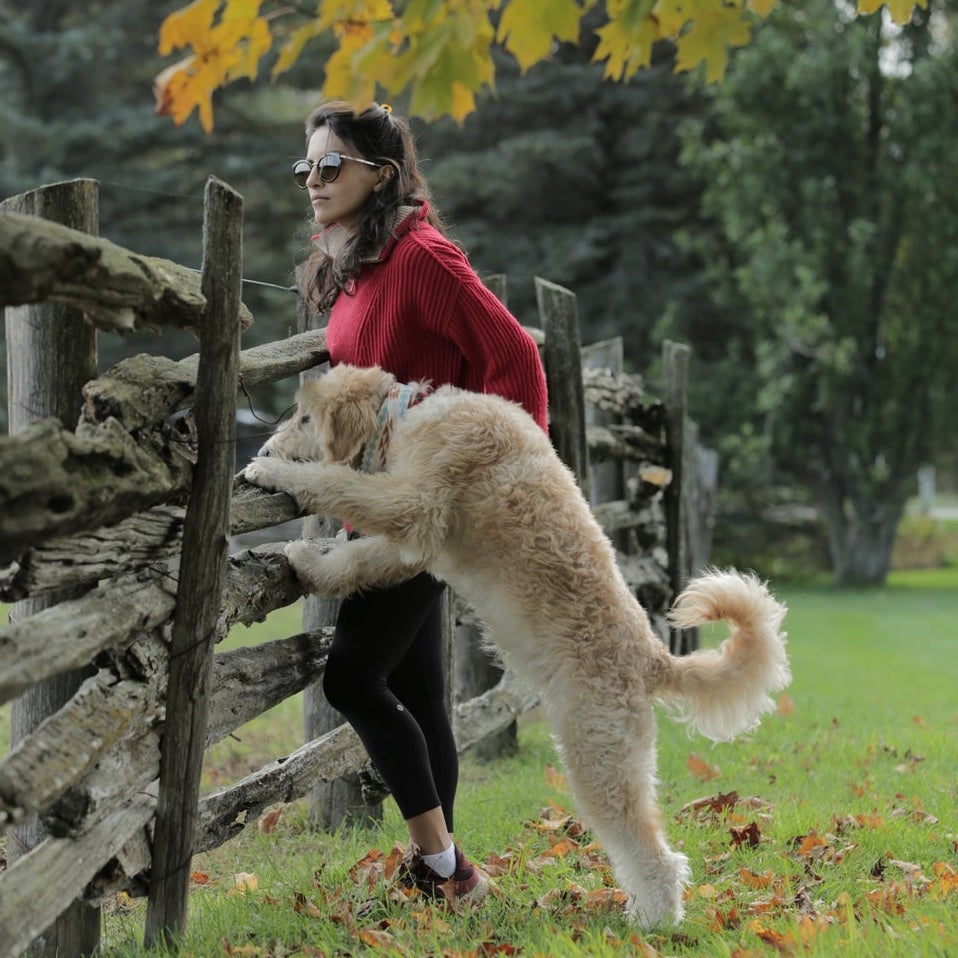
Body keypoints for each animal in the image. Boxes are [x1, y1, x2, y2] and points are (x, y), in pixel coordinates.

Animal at [244, 363, 790, 928]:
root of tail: (652, 658)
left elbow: (334, 482)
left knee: (656, 856)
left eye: (305, 418)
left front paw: (272, 475)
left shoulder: (413, 503)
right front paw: (308, 562)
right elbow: (356, 561)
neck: (410, 415)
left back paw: (651, 923)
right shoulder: (414, 545)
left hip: (600, 759)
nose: (265, 448)